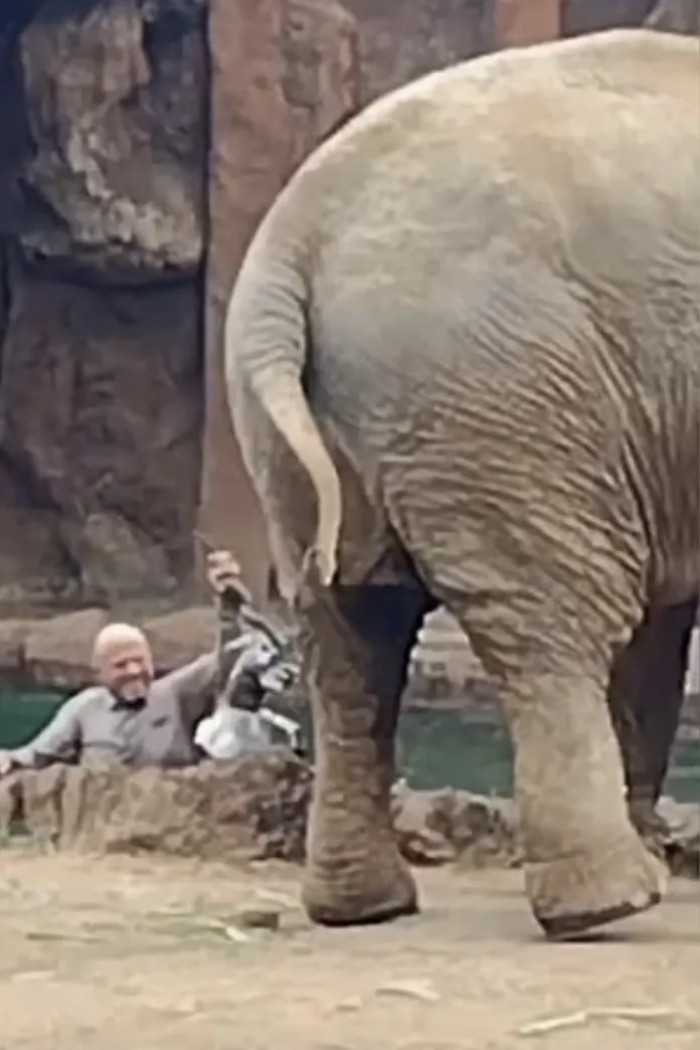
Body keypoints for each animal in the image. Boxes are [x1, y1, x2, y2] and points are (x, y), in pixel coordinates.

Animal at [223, 29, 699, 939]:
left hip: (313, 426)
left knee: (348, 631)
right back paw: (608, 905)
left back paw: (362, 908)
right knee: (557, 622)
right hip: (509, 387)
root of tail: (296, 240)